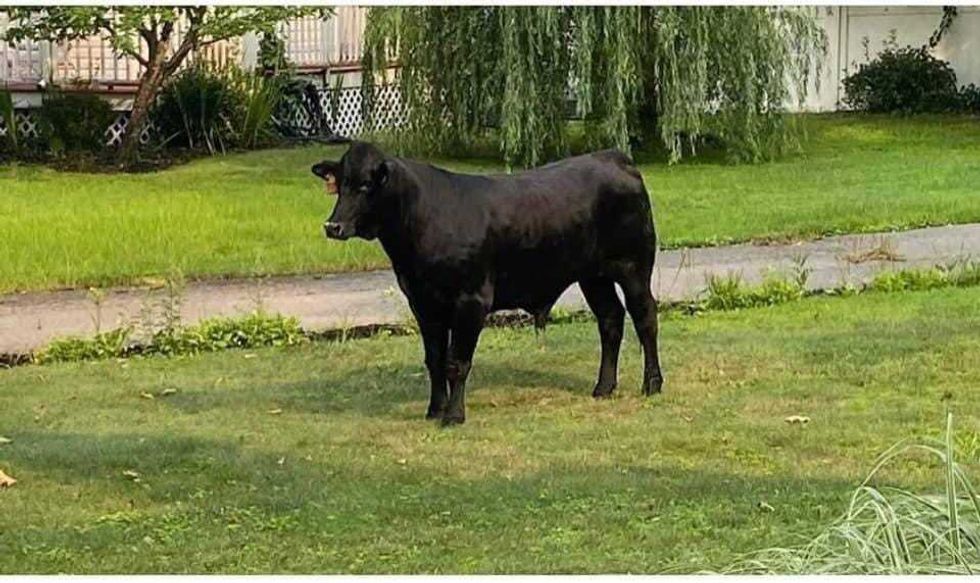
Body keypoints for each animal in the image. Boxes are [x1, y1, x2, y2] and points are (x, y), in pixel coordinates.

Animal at [312, 141, 663, 425]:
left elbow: (457, 361)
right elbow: (434, 359)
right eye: (340, 184)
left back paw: (652, 384)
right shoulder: (423, 302)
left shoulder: (471, 300)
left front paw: (454, 415)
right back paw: (603, 387)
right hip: (593, 276)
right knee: (610, 320)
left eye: (365, 185)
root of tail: (613, 157)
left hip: (633, 266)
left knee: (644, 317)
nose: (333, 226)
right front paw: (434, 410)